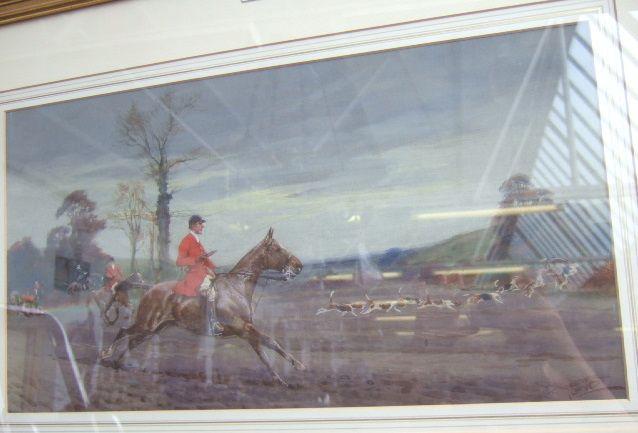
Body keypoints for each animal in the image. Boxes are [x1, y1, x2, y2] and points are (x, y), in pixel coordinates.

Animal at [99, 228, 305, 386]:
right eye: (277, 249)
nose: (299, 265)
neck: (236, 286)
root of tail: (151, 288)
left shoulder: (246, 329)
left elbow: (263, 352)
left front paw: (280, 379)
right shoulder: (242, 327)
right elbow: (270, 341)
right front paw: (299, 365)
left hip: (154, 329)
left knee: (132, 342)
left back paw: (117, 363)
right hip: (146, 324)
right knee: (123, 331)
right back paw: (106, 355)